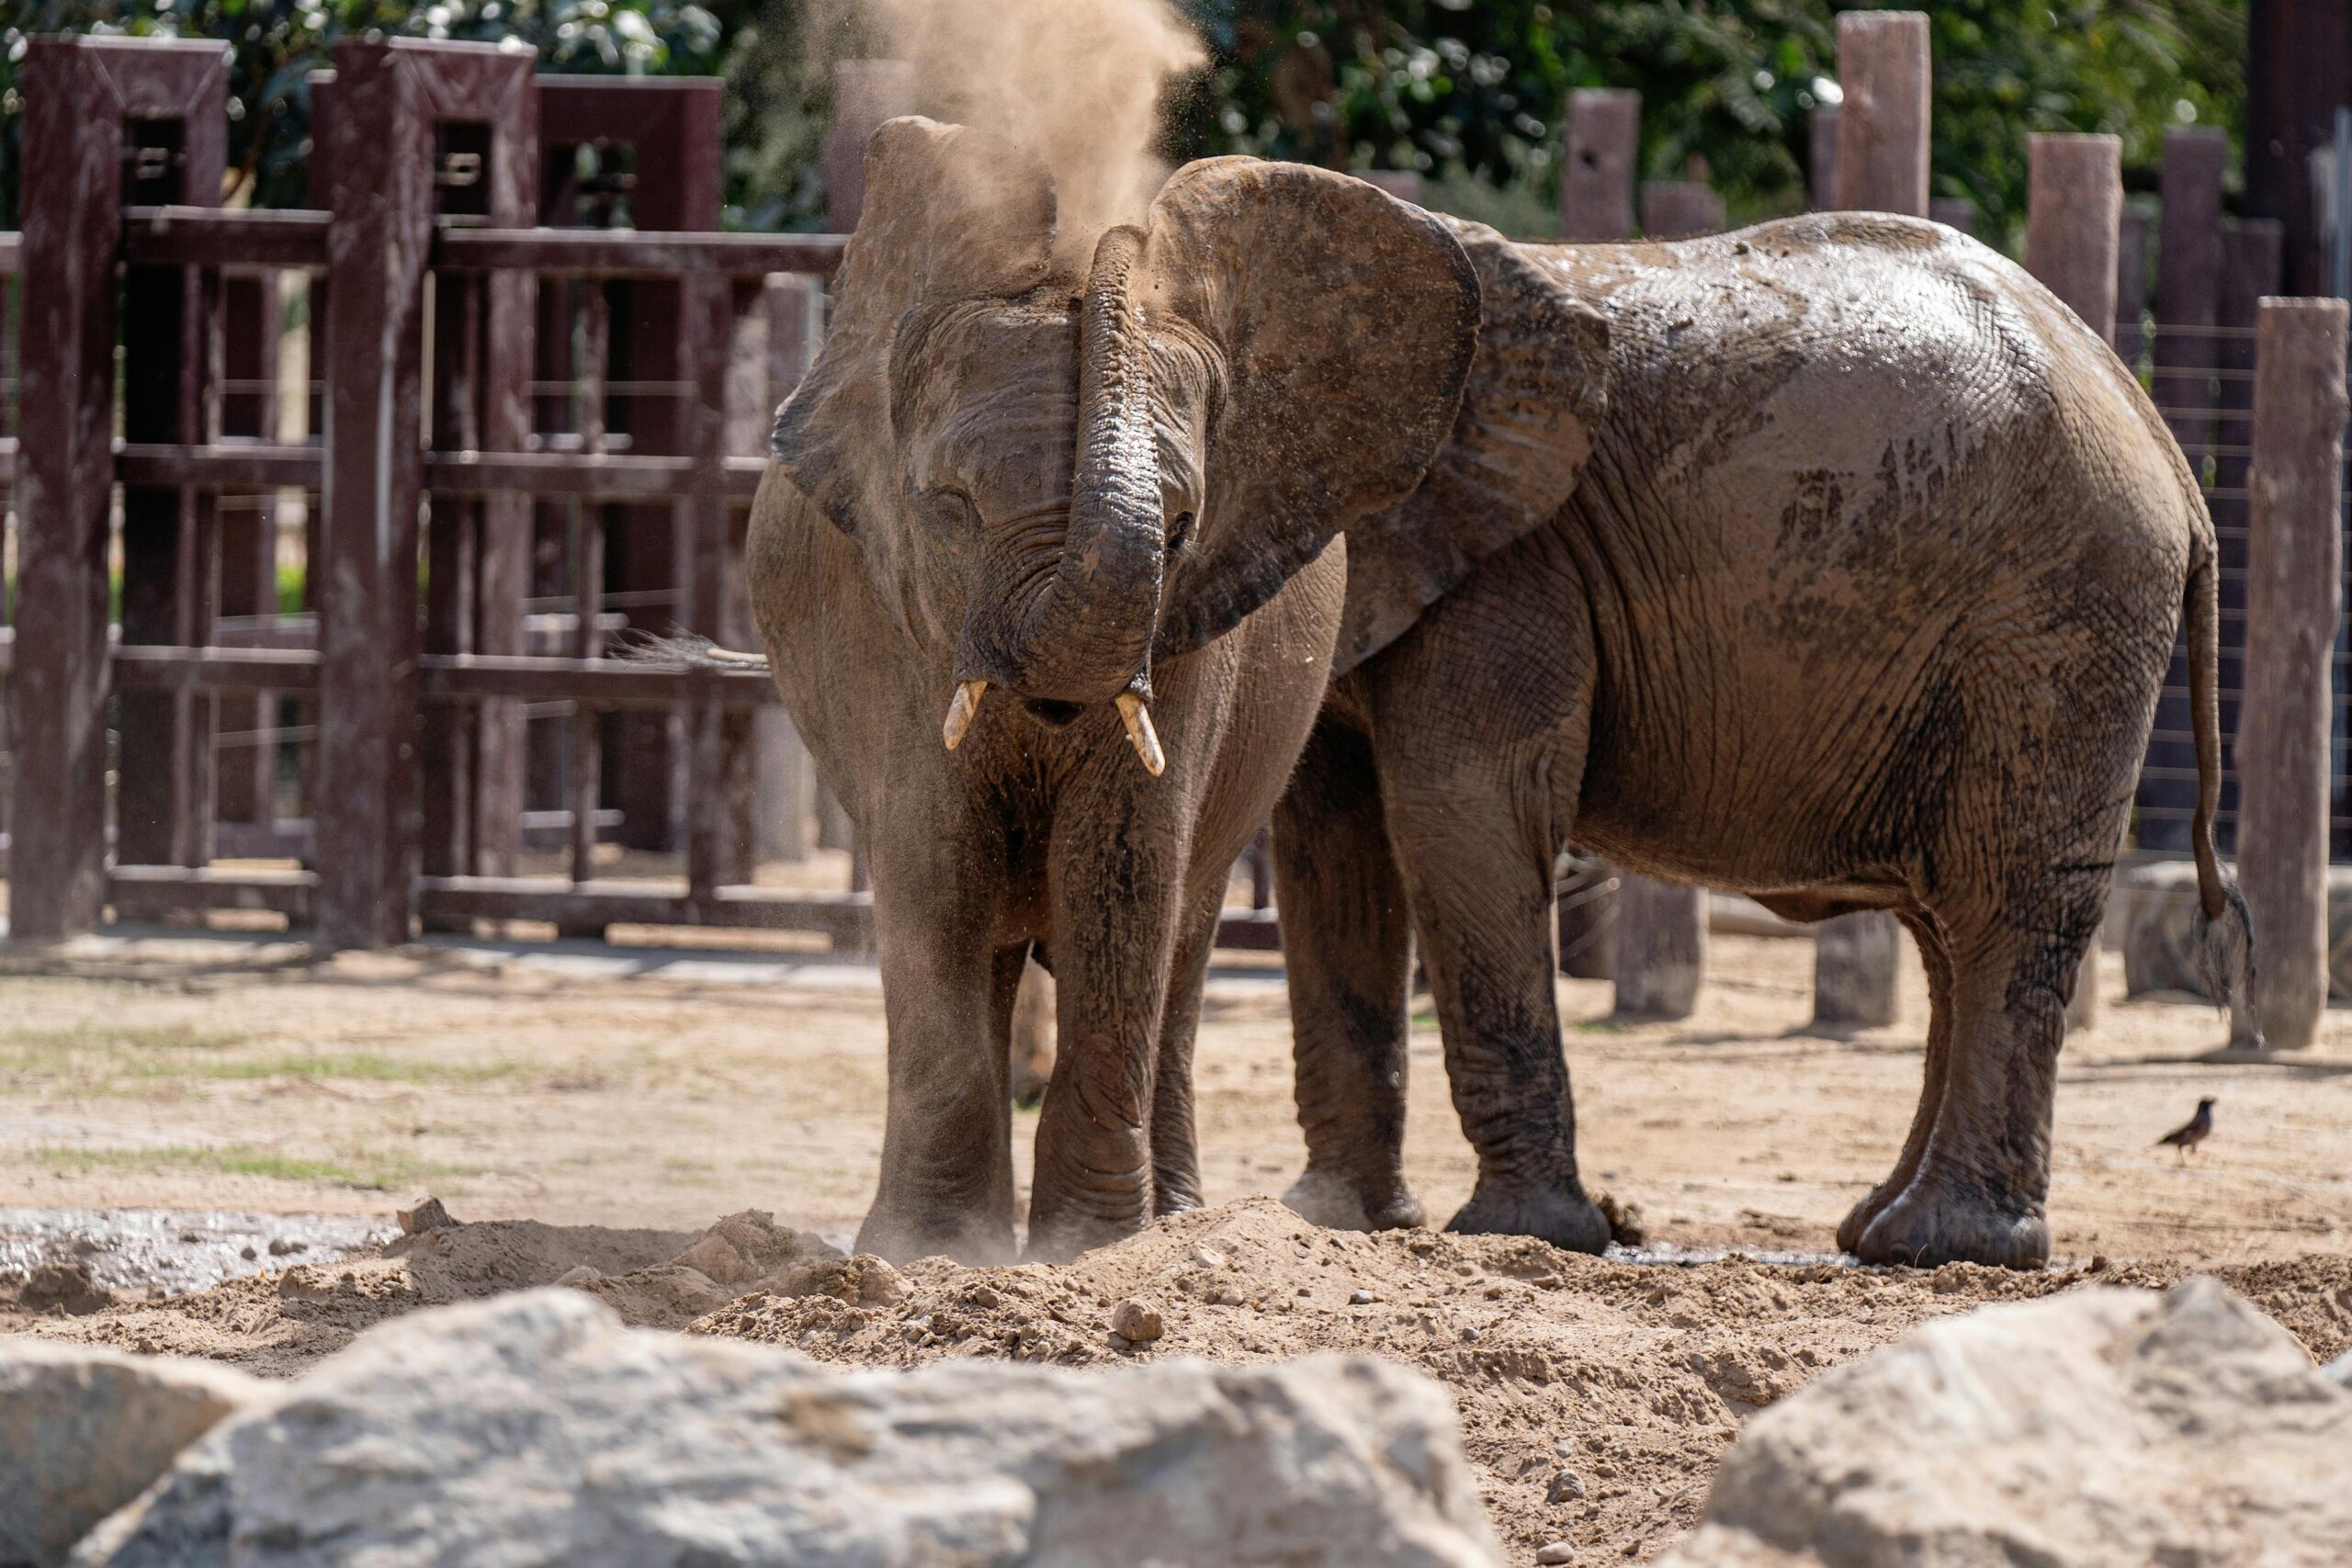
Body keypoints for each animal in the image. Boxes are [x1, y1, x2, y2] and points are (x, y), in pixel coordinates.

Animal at [744, 117, 1501, 1261]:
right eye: (951, 507)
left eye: (1182, 528)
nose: (1118, 239)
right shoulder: (876, 609)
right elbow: (934, 858)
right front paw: (928, 1254)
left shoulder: (1190, 621)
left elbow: (1121, 866)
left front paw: (1086, 1250)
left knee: (1179, 937)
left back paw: (1173, 1218)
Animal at [1271, 209, 2254, 1271]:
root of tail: (2150, 425)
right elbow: (1329, 842)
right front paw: (1332, 1221)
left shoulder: (1510, 564)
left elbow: (1463, 812)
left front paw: (1518, 1235)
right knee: (1951, 926)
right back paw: (1881, 1232)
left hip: (2057, 615)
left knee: (2006, 896)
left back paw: (1946, 1245)